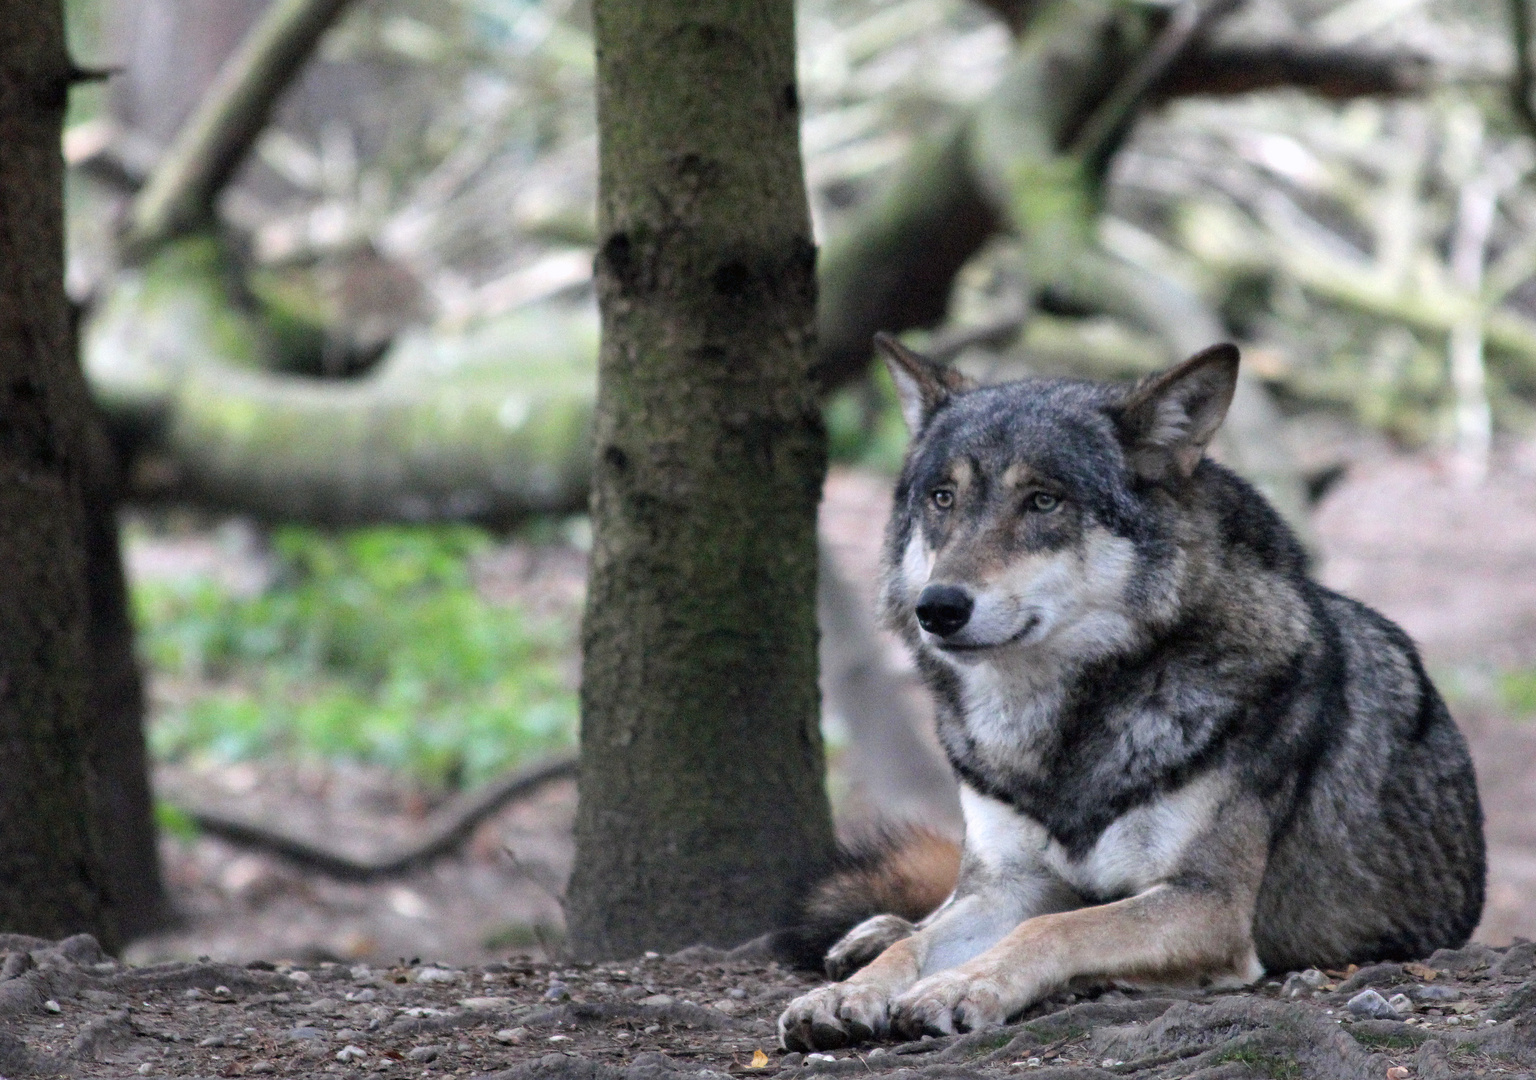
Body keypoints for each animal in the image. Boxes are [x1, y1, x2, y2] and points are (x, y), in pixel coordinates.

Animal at [780, 333, 1486, 1050]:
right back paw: (867, 937)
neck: (1055, 733)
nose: (938, 608)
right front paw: (848, 993)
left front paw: (960, 987)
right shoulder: (1007, 886)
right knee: (924, 912)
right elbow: (924, 945)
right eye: (943, 497)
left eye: (1043, 501)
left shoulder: (1207, 903)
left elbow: (1056, 926)